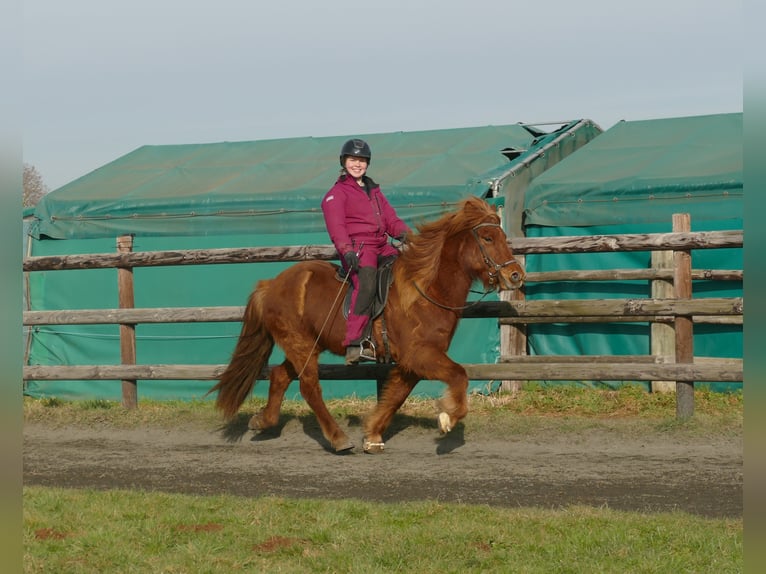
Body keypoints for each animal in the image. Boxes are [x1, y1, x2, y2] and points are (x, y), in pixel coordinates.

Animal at [207, 197, 524, 454]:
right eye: (487, 237)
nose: (516, 275)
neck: (425, 290)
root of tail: (270, 284)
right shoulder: (420, 355)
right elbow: (459, 374)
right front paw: (448, 417)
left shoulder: (411, 362)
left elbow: (395, 396)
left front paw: (372, 435)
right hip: (300, 344)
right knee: (309, 387)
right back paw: (337, 439)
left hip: (307, 345)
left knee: (280, 376)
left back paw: (263, 420)